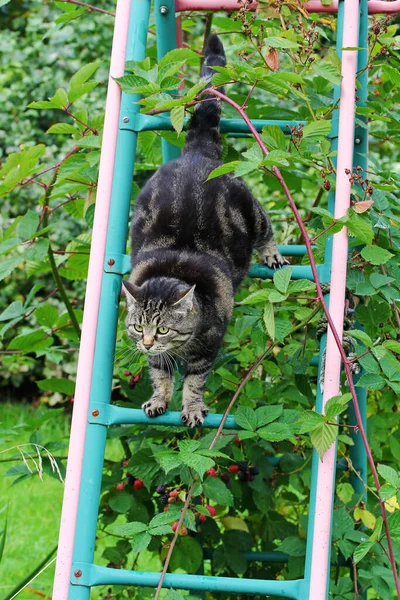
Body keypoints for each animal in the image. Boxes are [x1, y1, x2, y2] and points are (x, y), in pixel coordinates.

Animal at [124, 34, 284, 426]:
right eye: (138, 327)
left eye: (163, 328)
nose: (146, 342)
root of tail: (198, 153)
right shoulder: (157, 357)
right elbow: (160, 373)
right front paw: (159, 399)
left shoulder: (208, 348)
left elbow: (194, 381)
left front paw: (192, 407)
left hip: (252, 210)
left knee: (267, 229)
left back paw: (272, 253)